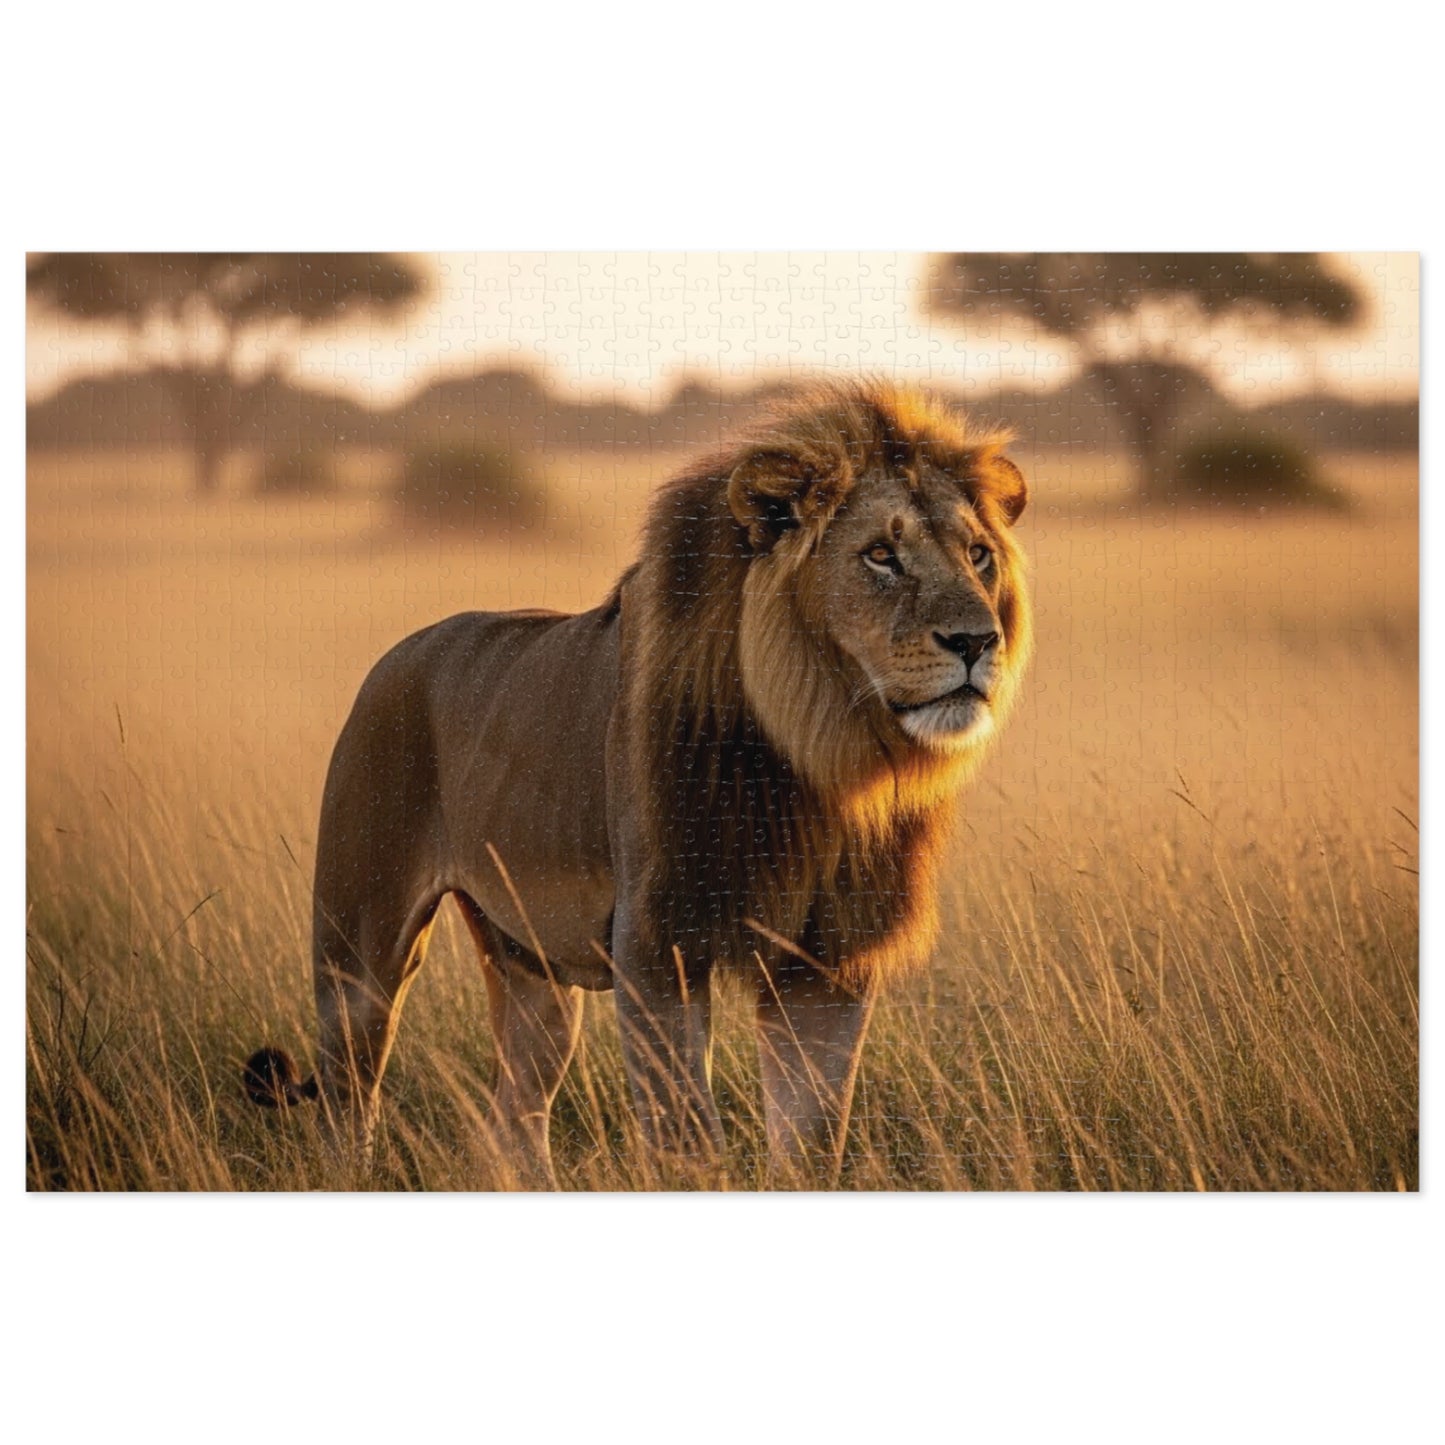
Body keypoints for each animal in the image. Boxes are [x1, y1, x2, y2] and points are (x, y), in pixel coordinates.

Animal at [245, 377, 1032, 1185]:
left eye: (978, 555)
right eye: (880, 555)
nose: (978, 641)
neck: (821, 757)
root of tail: (396, 655)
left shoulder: (828, 956)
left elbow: (813, 1138)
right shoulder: (657, 940)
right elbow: (687, 1133)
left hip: (532, 972)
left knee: (512, 1120)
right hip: (357, 953)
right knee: (348, 1102)